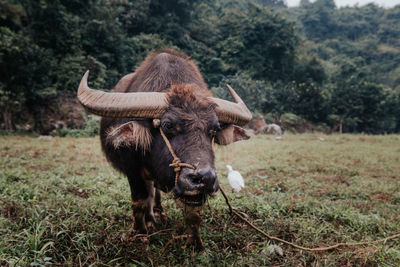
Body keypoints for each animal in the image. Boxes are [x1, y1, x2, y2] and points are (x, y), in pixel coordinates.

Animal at [77, 48, 252, 251]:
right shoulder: (132, 170)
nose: (205, 179)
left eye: (214, 129)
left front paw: (195, 244)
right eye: (168, 125)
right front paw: (140, 233)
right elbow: (140, 201)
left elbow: (192, 212)